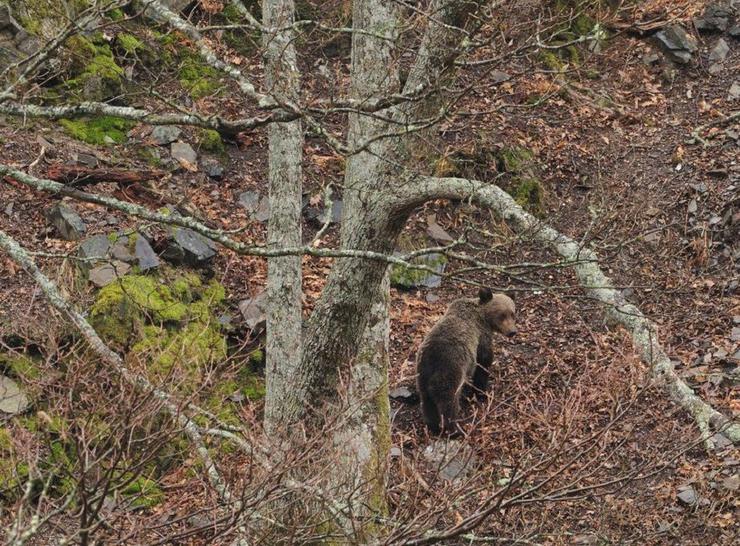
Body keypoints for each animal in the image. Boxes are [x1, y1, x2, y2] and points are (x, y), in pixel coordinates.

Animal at [416, 284, 516, 434]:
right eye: (502, 315)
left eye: (513, 313)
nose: (512, 332)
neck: (482, 317)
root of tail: (432, 357)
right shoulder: (480, 337)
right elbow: (483, 363)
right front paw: (481, 393)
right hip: (451, 368)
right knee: (448, 401)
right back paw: (454, 429)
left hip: (423, 373)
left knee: (427, 400)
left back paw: (433, 425)